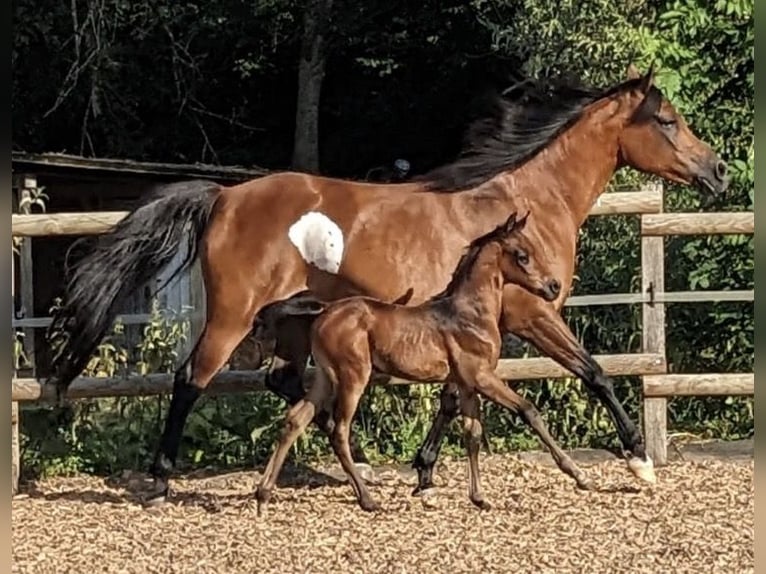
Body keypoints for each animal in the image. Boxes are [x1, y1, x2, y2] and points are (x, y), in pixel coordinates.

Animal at [254, 211, 593, 513]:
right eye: (522, 255)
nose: (552, 287)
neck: (470, 313)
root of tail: (323, 312)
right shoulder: (482, 377)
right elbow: (528, 411)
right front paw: (578, 475)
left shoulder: (466, 383)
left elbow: (472, 435)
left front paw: (479, 498)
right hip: (352, 377)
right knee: (339, 431)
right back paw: (368, 500)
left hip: (326, 376)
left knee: (296, 419)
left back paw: (263, 494)